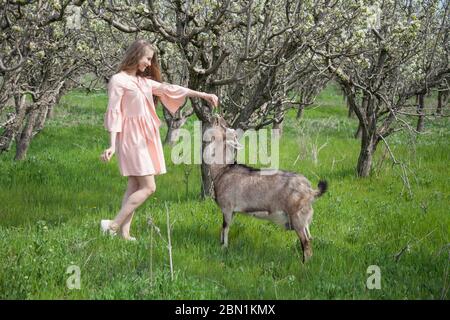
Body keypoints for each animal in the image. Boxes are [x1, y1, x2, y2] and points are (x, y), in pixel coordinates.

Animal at [207, 117, 326, 262]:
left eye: (225, 128)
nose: (217, 117)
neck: (223, 170)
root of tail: (310, 190)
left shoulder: (227, 208)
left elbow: (225, 227)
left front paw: (223, 248)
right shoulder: (232, 211)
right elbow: (223, 228)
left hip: (297, 218)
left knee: (306, 242)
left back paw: (304, 264)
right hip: (305, 220)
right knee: (310, 238)